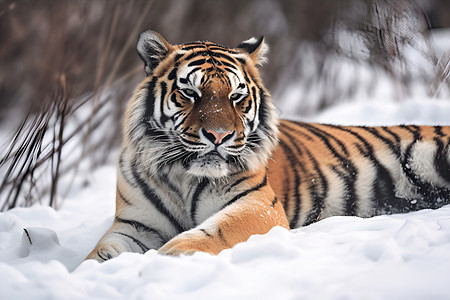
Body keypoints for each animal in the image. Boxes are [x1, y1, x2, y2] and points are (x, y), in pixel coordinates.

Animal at [85, 29, 450, 262]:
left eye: (236, 96)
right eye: (190, 93)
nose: (218, 136)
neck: (182, 176)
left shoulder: (258, 205)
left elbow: (218, 230)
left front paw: (170, 256)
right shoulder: (136, 225)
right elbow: (99, 254)